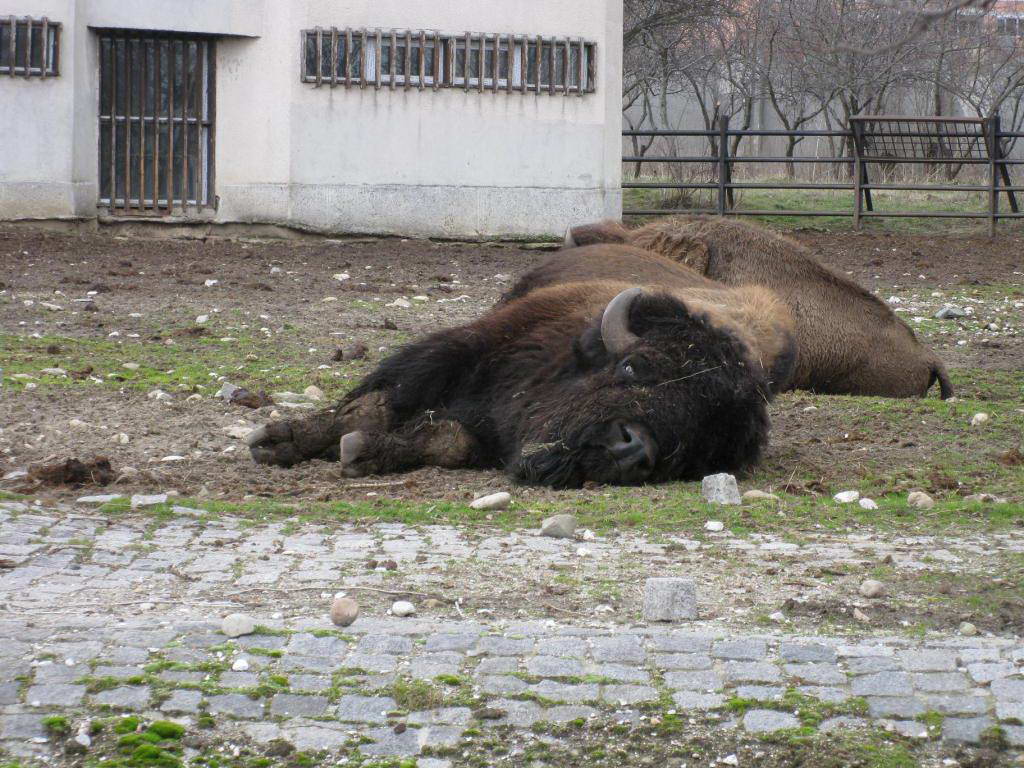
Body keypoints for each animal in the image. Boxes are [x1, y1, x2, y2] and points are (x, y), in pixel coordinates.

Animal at [247, 244, 790, 487]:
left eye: (696, 442)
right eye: (634, 368)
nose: (631, 447)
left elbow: (449, 441)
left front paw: (364, 451)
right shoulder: (464, 348)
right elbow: (376, 405)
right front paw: (278, 440)